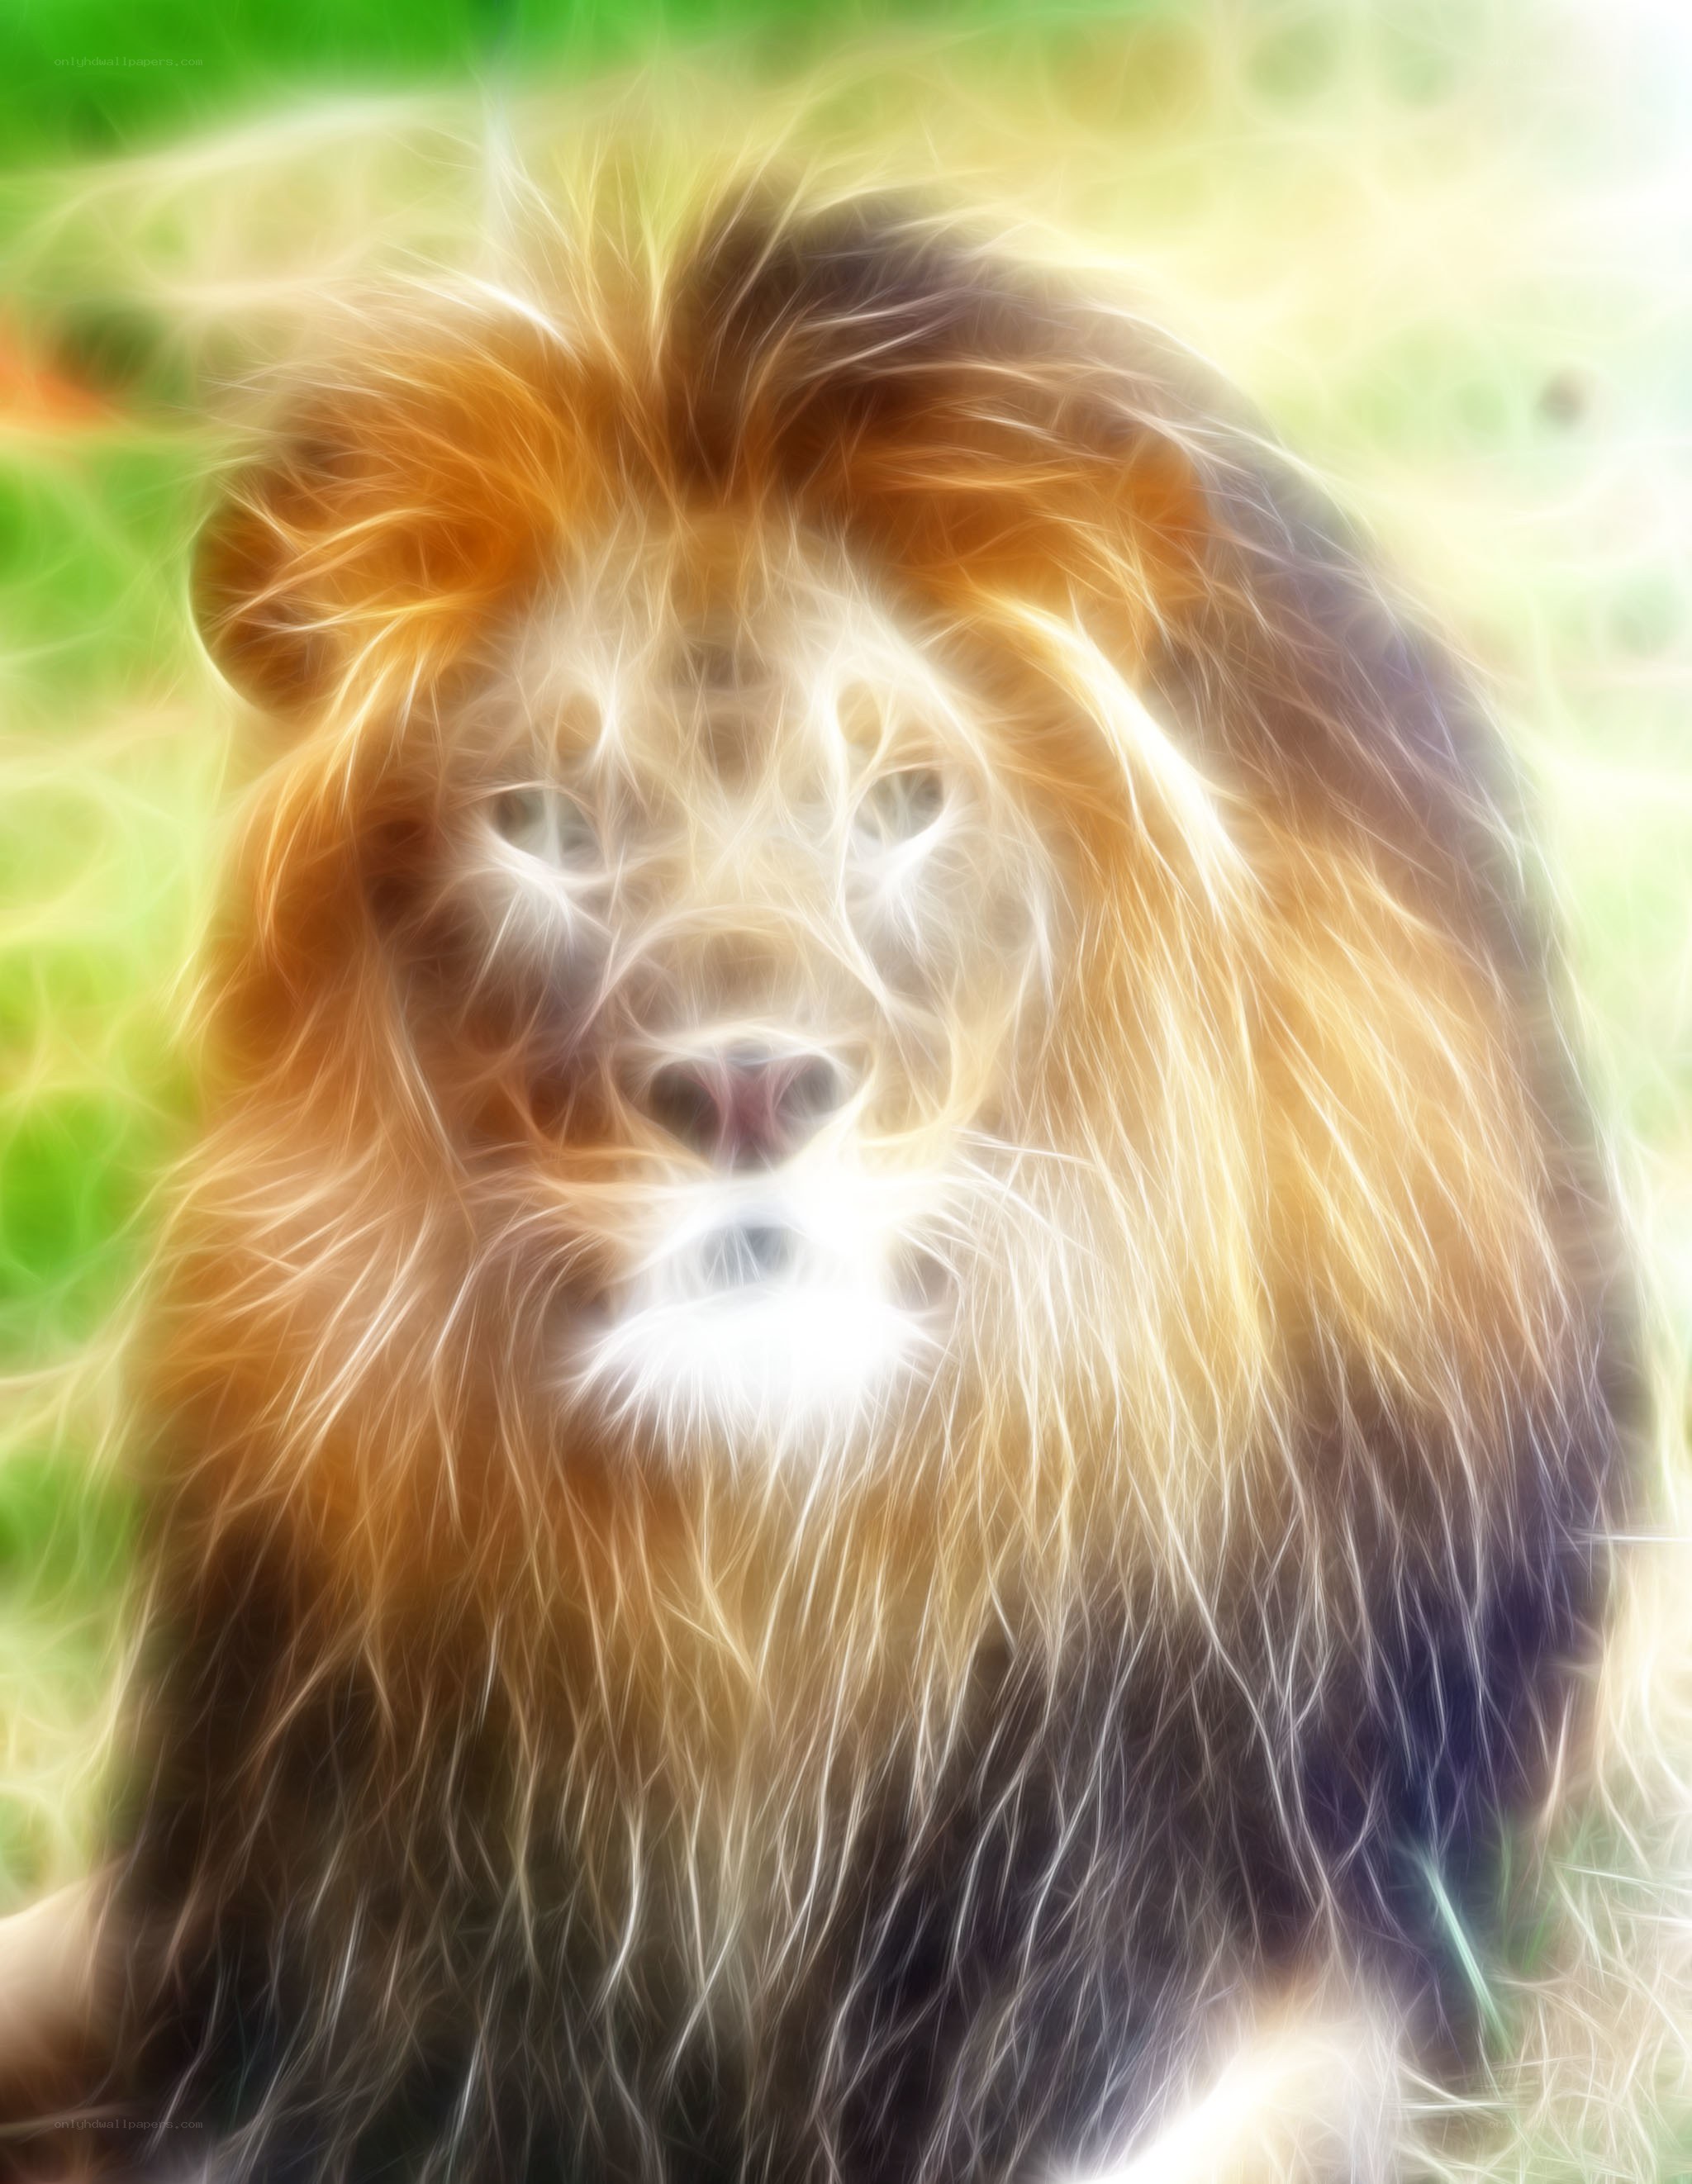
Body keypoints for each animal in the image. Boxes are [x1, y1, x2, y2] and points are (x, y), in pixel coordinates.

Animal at [7, 178, 1635, 2182]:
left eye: (903, 797)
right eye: (543, 823)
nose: (745, 1089)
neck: (777, 1595)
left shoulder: (1287, 1940)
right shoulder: (301, 1965)